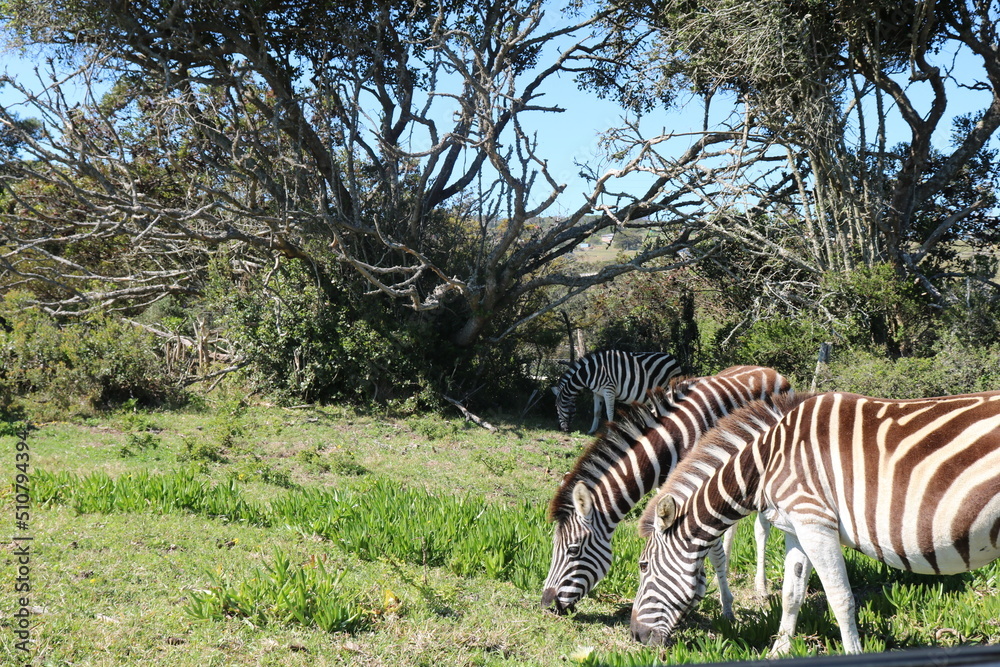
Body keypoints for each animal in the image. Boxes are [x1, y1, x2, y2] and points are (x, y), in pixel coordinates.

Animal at [541, 365, 792, 615]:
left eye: (573, 550)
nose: (547, 604)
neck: (667, 445)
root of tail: (769, 369)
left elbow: (713, 551)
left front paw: (725, 605)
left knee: (761, 529)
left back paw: (761, 587)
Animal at [552, 350, 683, 434]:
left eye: (558, 407)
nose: (560, 429)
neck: (591, 373)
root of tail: (674, 359)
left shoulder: (609, 390)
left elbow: (609, 413)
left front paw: (610, 432)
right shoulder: (597, 392)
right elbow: (596, 412)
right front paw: (592, 430)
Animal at [631, 390, 1000, 654]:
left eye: (643, 566)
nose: (636, 635)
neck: (766, 462)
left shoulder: (815, 520)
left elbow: (840, 599)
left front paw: (854, 657)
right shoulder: (798, 527)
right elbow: (791, 593)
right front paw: (778, 652)